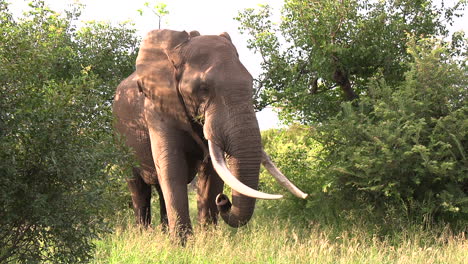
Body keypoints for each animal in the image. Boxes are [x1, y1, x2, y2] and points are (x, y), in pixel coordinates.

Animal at [113, 28, 308, 239]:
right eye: (203, 89)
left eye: (251, 83)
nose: (223, 200)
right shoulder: (157, 109)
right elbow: (173, 168)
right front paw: (182, 244)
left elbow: (213, 174)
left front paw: (208, 240)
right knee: (138, 187)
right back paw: (144, 235)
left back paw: (163, 234)